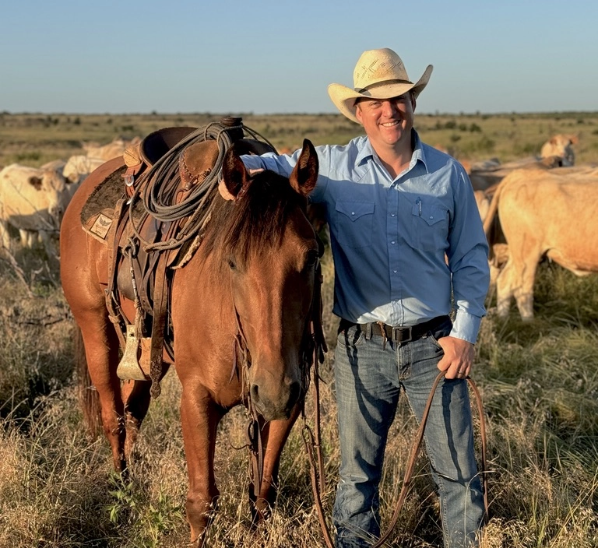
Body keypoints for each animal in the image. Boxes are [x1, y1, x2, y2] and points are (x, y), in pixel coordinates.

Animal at [60, 139, 321, 545]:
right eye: (232, 262)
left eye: (311, 257)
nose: (274, 390)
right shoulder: (197, 398)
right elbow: (201, 503)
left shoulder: (288, 405)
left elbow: (264, 492)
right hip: (94, 328)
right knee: (112, 416)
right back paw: (120, 488)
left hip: (147, 353)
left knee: (133, 412)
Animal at [482, 167, 598, 320]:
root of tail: (520, 173)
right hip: (528, 252)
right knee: (522, 289)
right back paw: (529, 322)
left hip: (517, 252)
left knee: (505, 282)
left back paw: (504, 319)